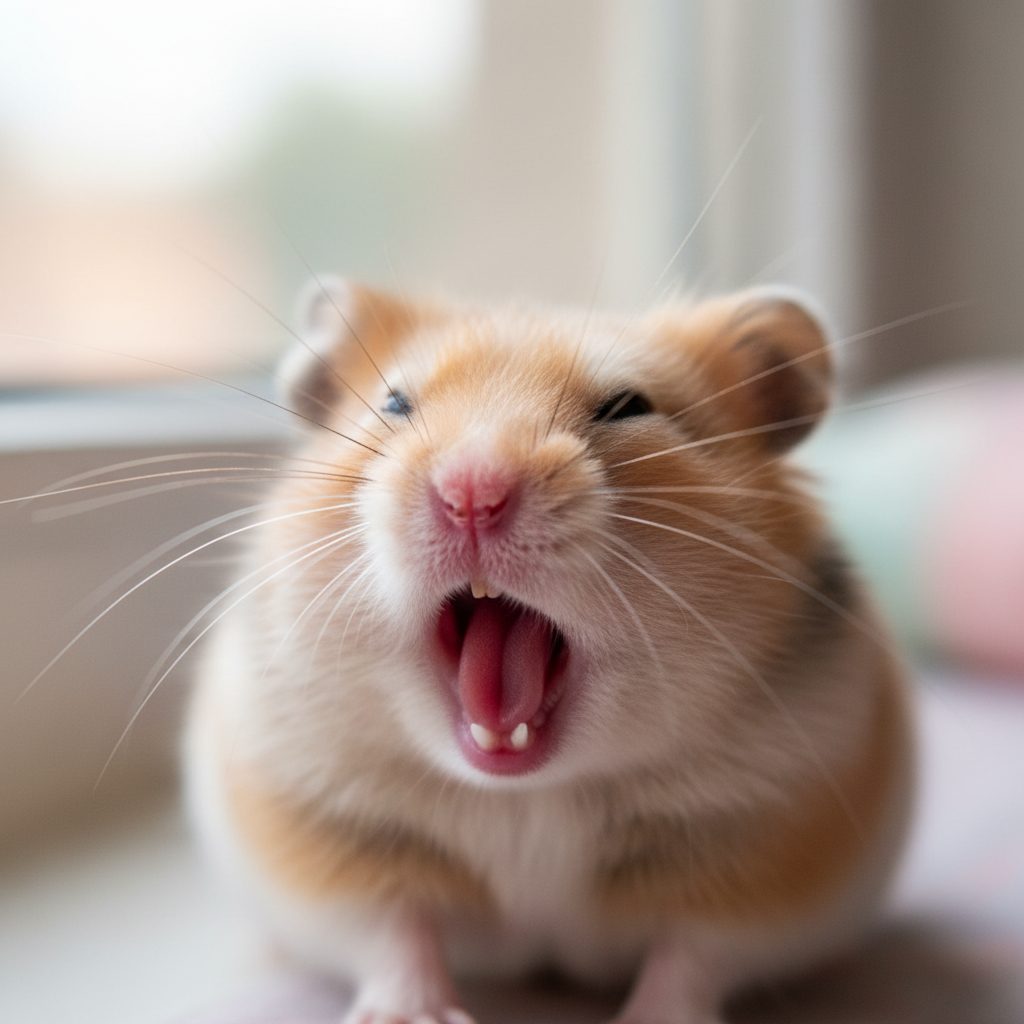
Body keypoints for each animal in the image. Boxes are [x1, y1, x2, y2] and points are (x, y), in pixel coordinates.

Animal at [185, 280, 913, 1024]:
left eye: (628, 406)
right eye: (393, 404)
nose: (471, 492)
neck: (529, 789)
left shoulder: (762, 866)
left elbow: (690, 958)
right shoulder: (330, 845)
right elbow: (393, 929)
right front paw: (412, 1016)